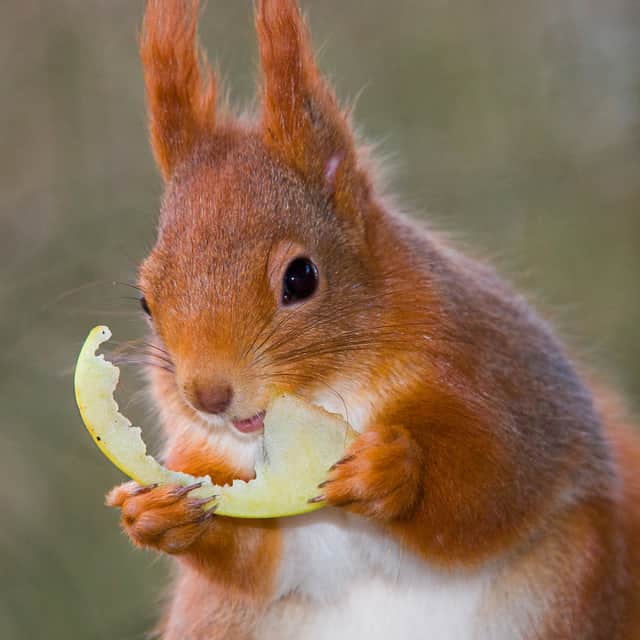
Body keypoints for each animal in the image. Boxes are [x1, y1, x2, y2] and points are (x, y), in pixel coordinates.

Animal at [105, 1, 640, 638]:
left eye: (301, 277)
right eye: (146, 300)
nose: (207, 396)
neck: (334, 389)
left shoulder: (505, 383)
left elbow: (492, 489)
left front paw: (394, 472)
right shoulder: (223, 472)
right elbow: (257, 561)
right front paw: (156, 514)